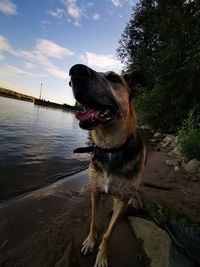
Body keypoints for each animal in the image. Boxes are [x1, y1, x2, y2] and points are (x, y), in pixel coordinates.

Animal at [69, 64, 152, 267]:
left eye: (114, 78)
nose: (75, 70)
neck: (111, 148)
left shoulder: (122, 201)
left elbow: (109, 233)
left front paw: (102, 256)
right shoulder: (94, 191)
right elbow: (93, 222)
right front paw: (90, 241)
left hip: (133, 200)